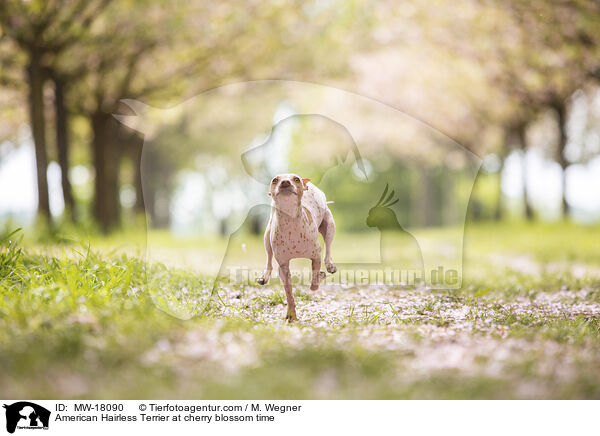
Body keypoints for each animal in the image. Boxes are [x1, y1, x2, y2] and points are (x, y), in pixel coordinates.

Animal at [255, 173, 336, 320]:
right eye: (275, 180)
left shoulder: (316, 257)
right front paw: (291, 314)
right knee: (269, 260)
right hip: (266, 237)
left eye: (296, 179)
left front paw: (320, 276)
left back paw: (330, 265)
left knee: (328, 249)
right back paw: (264, 276)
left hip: (330, 226)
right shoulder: (283, 266)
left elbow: (314, 283)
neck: (290, 221)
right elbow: (289, 294)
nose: (285, 182)